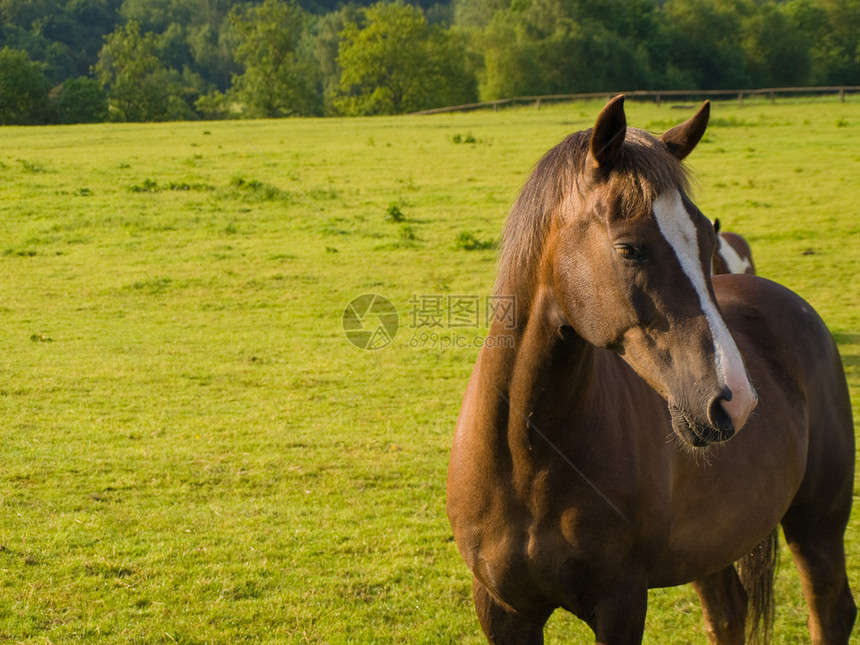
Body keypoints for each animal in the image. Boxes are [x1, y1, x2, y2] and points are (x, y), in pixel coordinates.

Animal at [446, 97, 856, 644]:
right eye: (629, 249)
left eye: (707, 242)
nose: (736, 399)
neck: (525, 456)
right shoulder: (501, 609)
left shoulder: (620, 603)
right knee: (728, 612)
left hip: (817, 525)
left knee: (830, 611)